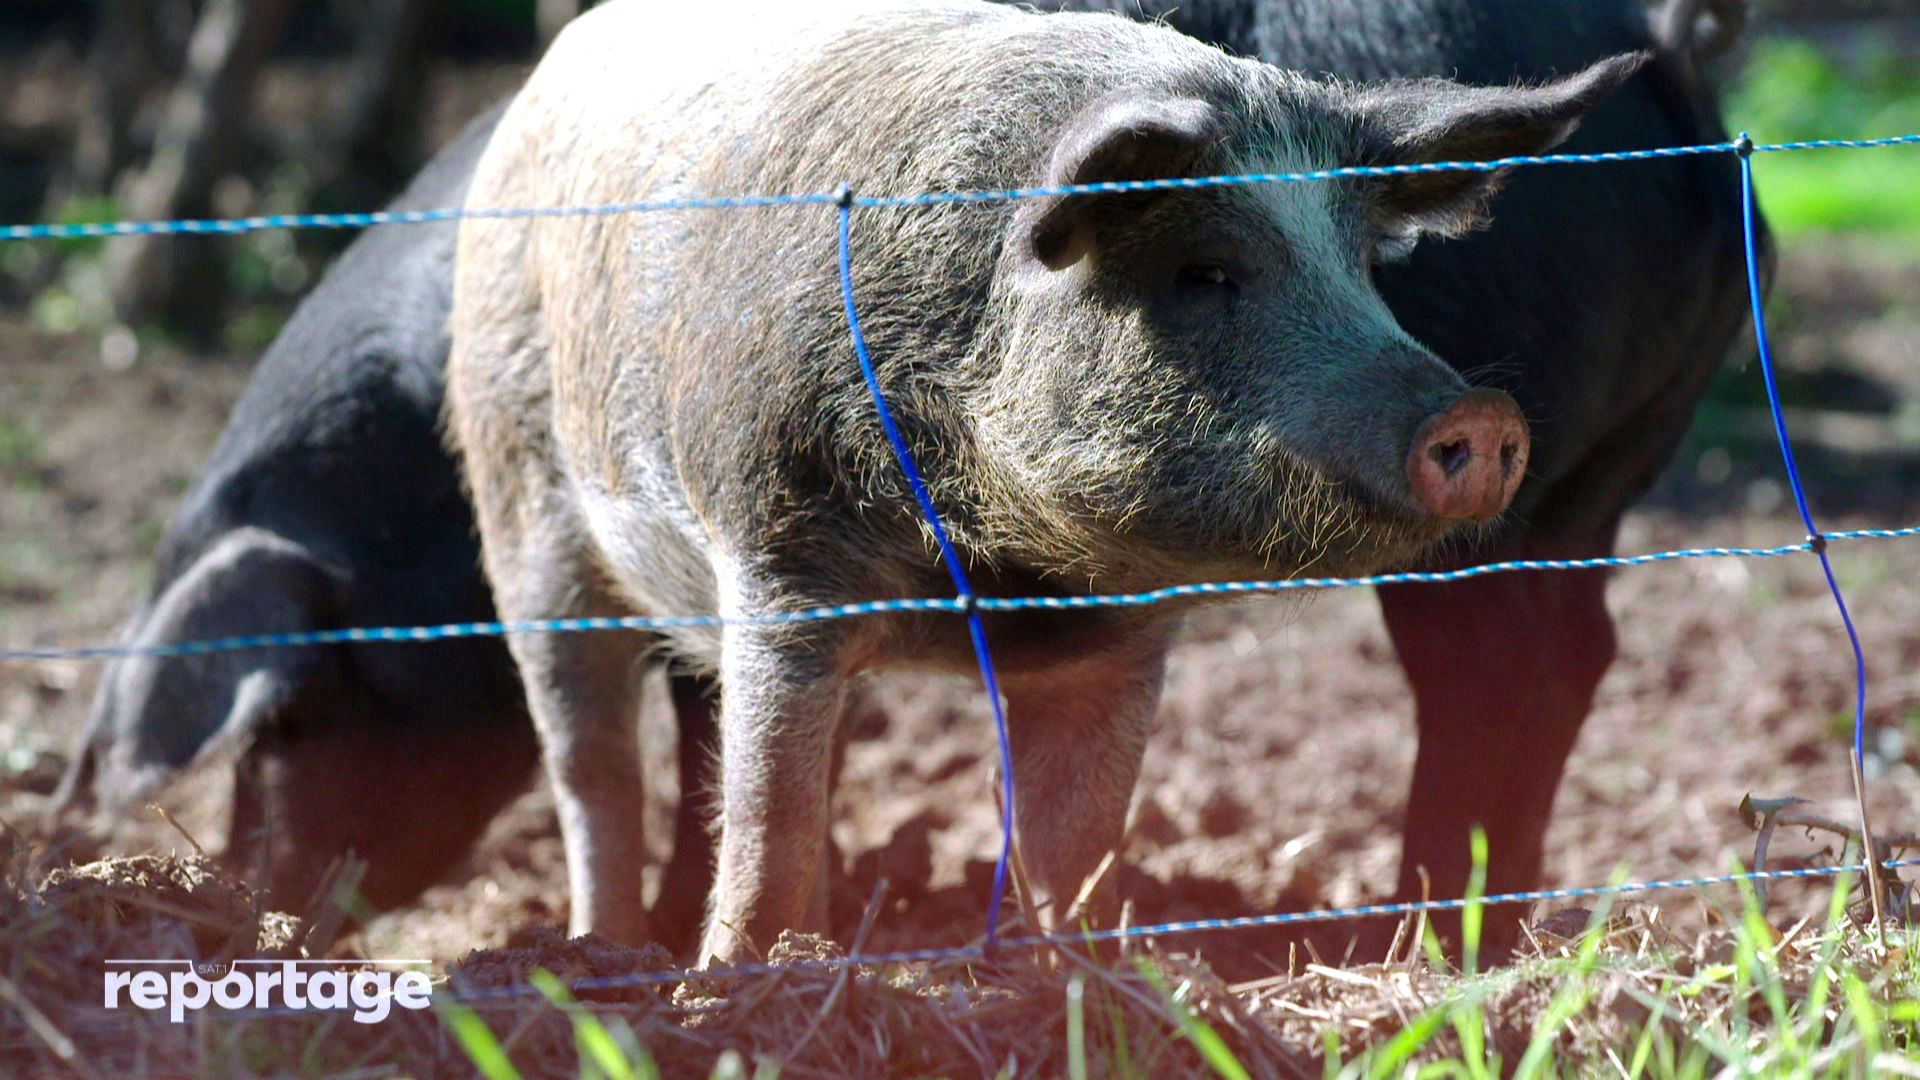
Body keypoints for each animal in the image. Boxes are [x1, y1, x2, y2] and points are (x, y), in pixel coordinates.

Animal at [441, 0, 1643, 957]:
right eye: (1204, 273)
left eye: (1362, 271)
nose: (1478, 415)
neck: (1004, 564)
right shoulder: (775, 553)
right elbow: (766, 820)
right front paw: (736, 987)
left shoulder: (1123, 640)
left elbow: (1075, 845)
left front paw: (1077, 979)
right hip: (520, 500)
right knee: (592, 766)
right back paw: (604, 954)